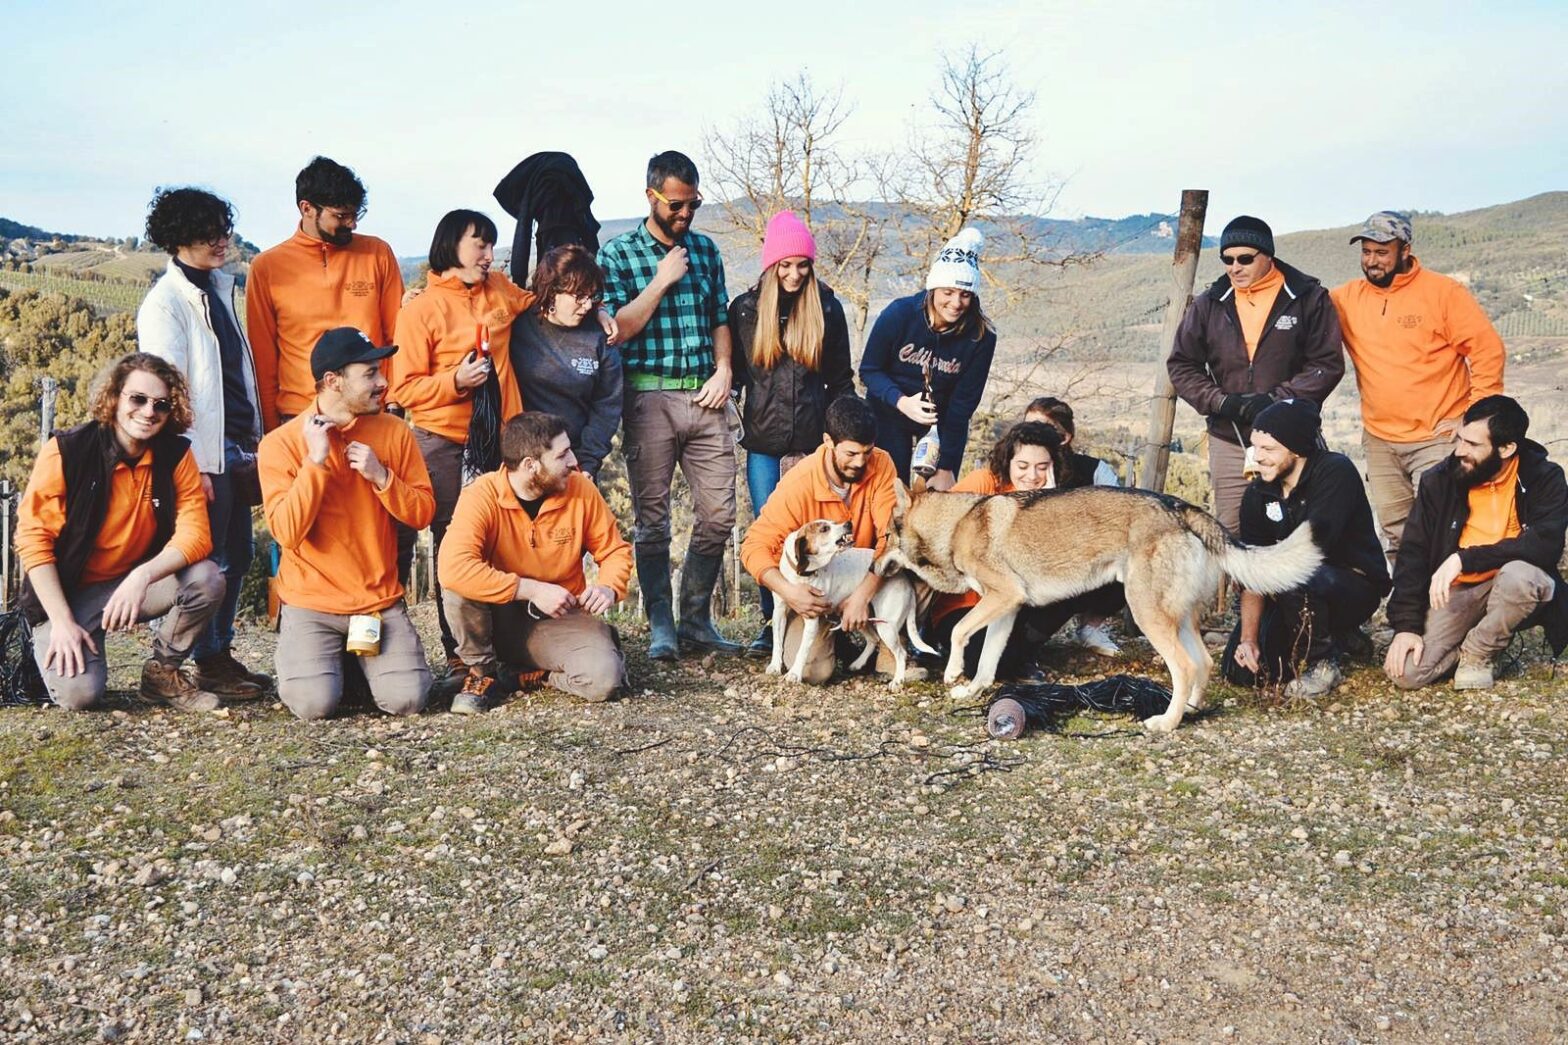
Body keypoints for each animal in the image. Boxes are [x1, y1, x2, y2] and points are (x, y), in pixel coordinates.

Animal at [765, 517, 934, 684]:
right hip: (857, 616)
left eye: (833, 523)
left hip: (886, 626)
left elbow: (802, 651)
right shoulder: (779, 612)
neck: (800, 574)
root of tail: (906, 581)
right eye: (824, 528)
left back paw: (898, 680)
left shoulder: (811, 618)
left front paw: (794, 674)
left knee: (900, 653)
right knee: (874, 639)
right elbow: (777, 642)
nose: (848, 523)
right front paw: (775, 666)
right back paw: (858, 663)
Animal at [871, 476, 1323, 728]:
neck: (957, 524)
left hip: (1147, 615)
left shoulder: (1004, 597)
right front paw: (971, 691)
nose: (873, 568)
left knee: (1184, 667)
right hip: (1176, 620)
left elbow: (962, 635)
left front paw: (952, 674)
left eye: (885, 537)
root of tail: (1181, 507)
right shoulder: (1007, 608)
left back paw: (1166, 723)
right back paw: (1190, 711)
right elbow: (988, 662)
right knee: (1203, 665)